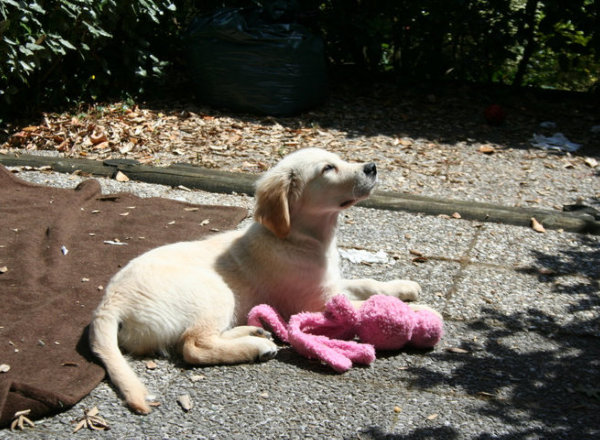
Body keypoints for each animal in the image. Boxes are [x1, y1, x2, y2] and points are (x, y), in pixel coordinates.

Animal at [90, 148, 424, 414]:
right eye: (328, 168)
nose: (372, 167)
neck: (299, 240)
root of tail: (110, 302)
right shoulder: (314, 302)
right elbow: (364, 306)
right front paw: (417, 315)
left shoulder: (330, 284)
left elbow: (368, 284)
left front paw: (404, 287)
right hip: (215, 291)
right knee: (193, 345)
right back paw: (255, 346)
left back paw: (253, 331)